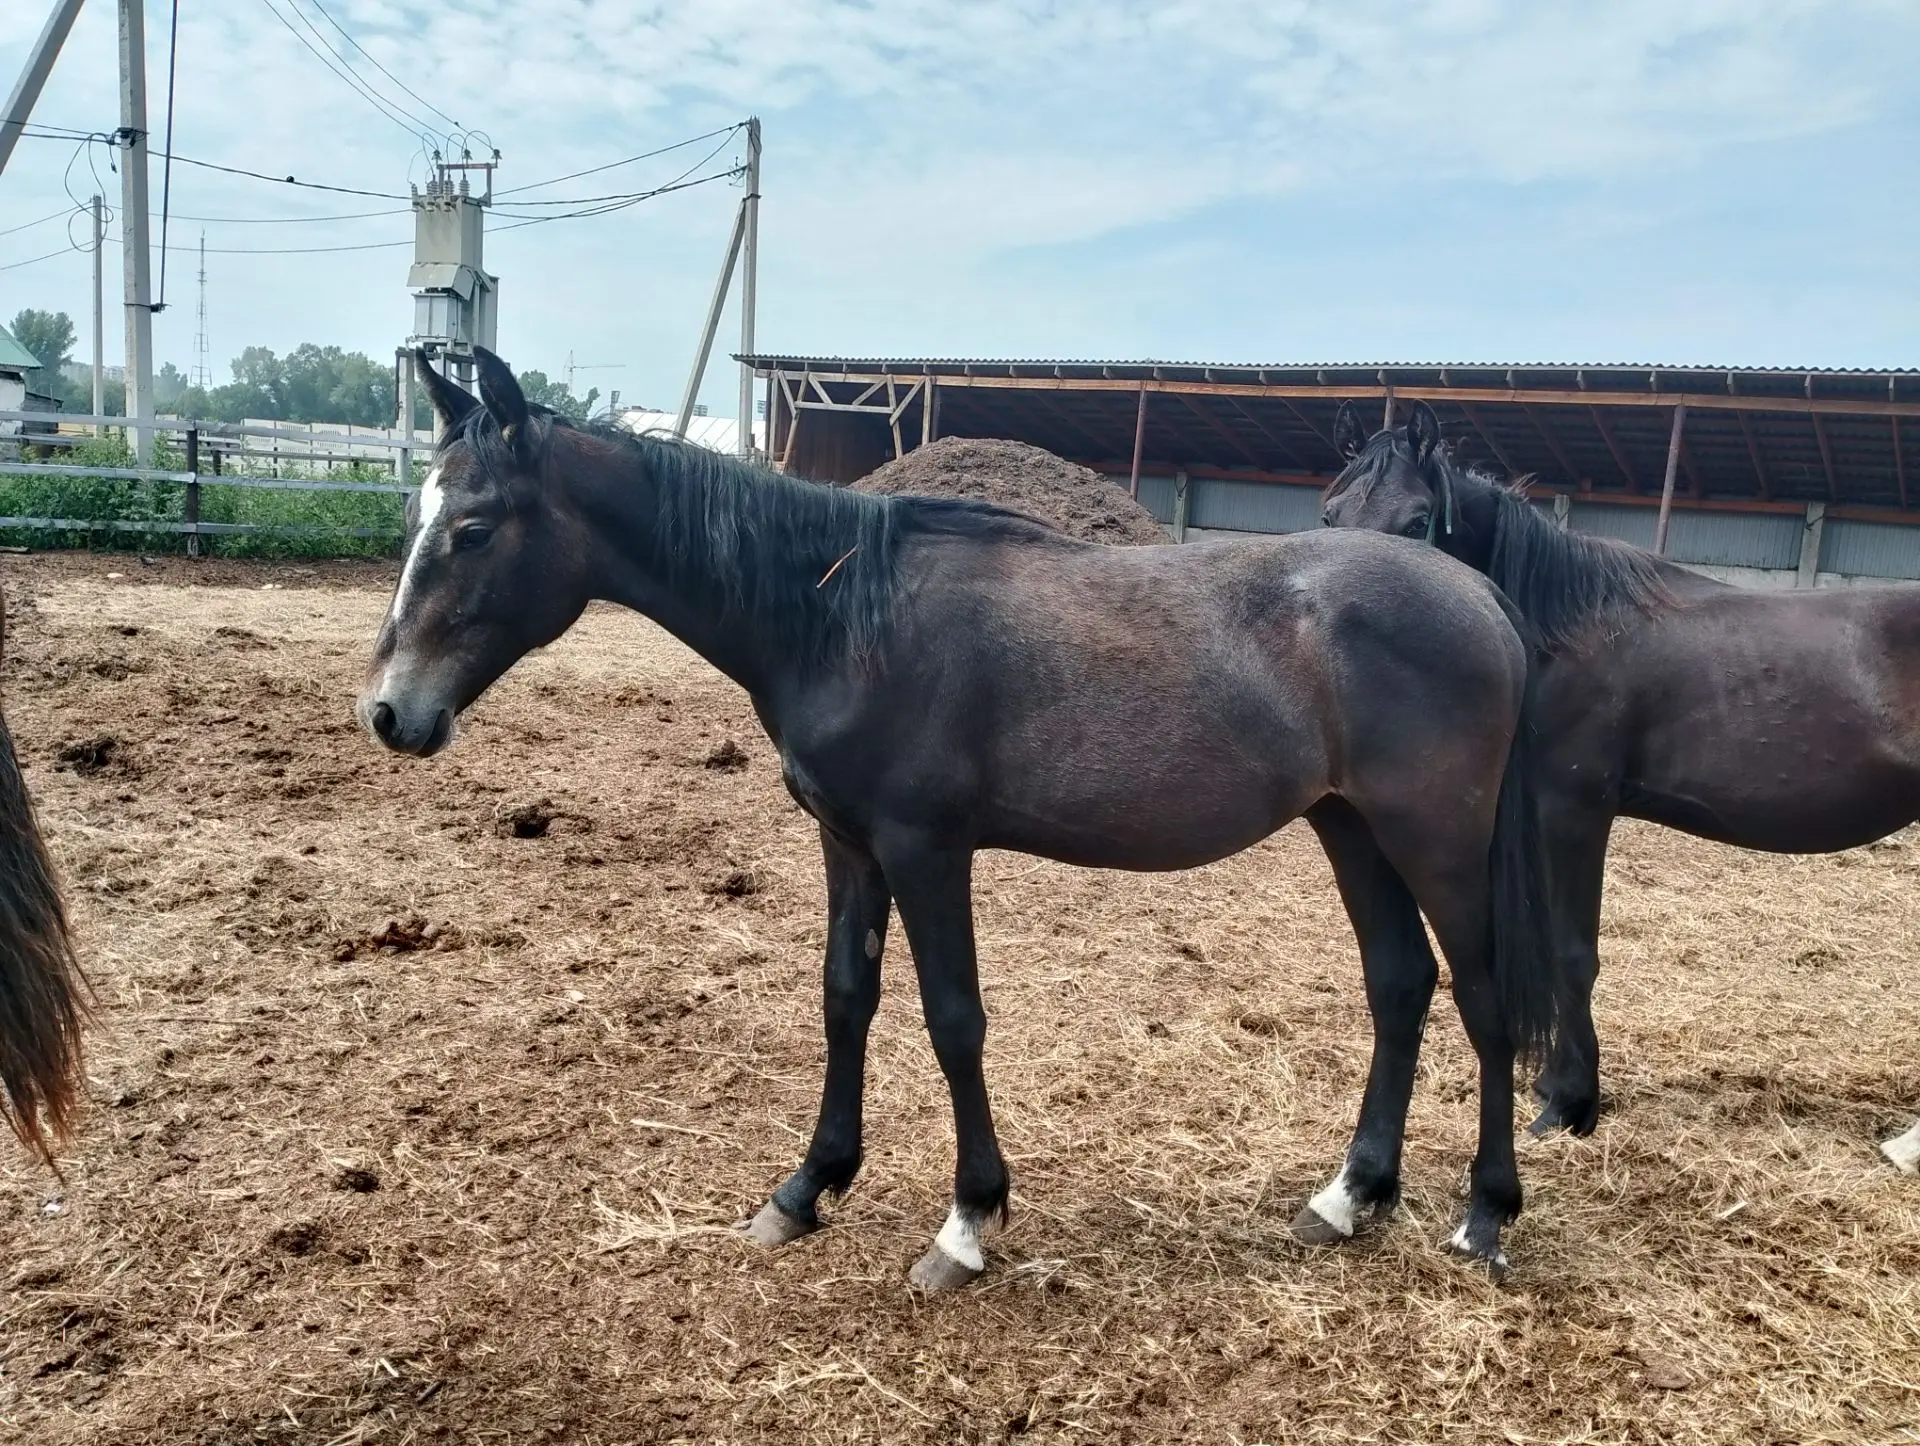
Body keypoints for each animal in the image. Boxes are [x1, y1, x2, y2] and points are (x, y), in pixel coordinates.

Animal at [359, 348, 1574, 1285]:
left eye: (474, 528)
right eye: (420, 511)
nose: (390, 711)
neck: (840, 612)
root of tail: (1479, 595)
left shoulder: (925, 848)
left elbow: (953, 1021)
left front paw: (967, 1223)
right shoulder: (848, 843)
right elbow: (846, 999)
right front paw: (805, 1189)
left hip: (1435, 842)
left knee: (1484, 1002)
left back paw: (1484, 1216)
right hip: (1350, 829)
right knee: (1400, 986)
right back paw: (1350, 1196)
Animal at [1322, 399, 1920, 1173]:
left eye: (1418, 521)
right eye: (1330, 514)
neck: (1560, 631)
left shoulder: (1573, 809)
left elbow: (1573, 954)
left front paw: (1569, 1101)